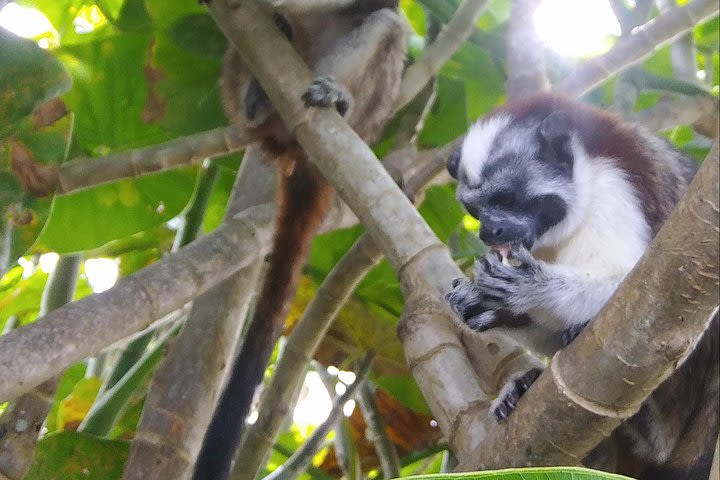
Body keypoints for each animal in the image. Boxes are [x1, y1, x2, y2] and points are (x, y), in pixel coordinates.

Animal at [448, 94, 716, 480]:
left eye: (507, 199)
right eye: (474, 210)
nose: (486, 232)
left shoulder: (615, 191)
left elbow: (651, 296)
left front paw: (529, 288)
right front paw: (490, 309)